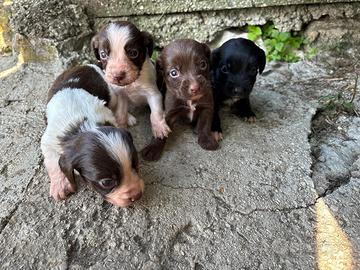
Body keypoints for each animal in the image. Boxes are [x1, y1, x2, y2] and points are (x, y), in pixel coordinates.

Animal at [40, 64, 144, 208]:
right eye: (107, 182)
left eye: (135, 164)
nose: (137, 195)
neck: (84, 126)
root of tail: (84, 65)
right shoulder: (48, 140)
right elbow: (52, 162)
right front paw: (60, 185)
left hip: (110, 93)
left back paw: (128, 117)